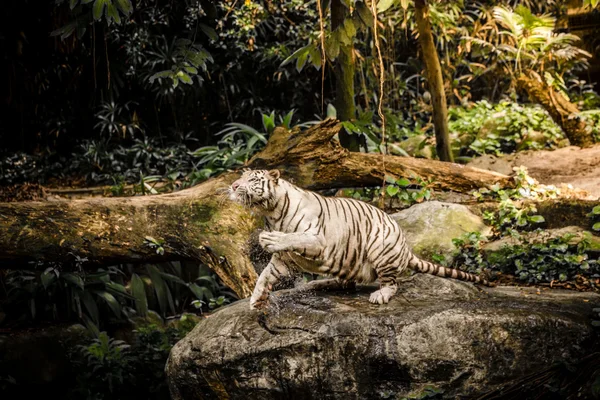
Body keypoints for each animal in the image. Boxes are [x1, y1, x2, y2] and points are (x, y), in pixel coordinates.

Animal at [230, 169, 492, 310]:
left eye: (252, 179)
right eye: (241, 178)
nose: (232, 186)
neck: (271, 212)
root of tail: (406, 249)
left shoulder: (317, 239)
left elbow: (292, 237)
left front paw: (268, 238)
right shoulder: (284, 260)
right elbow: (265, 276)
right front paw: (256, 301)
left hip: (381, 248)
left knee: (392, 284)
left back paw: (380, 295)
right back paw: (327, 283)